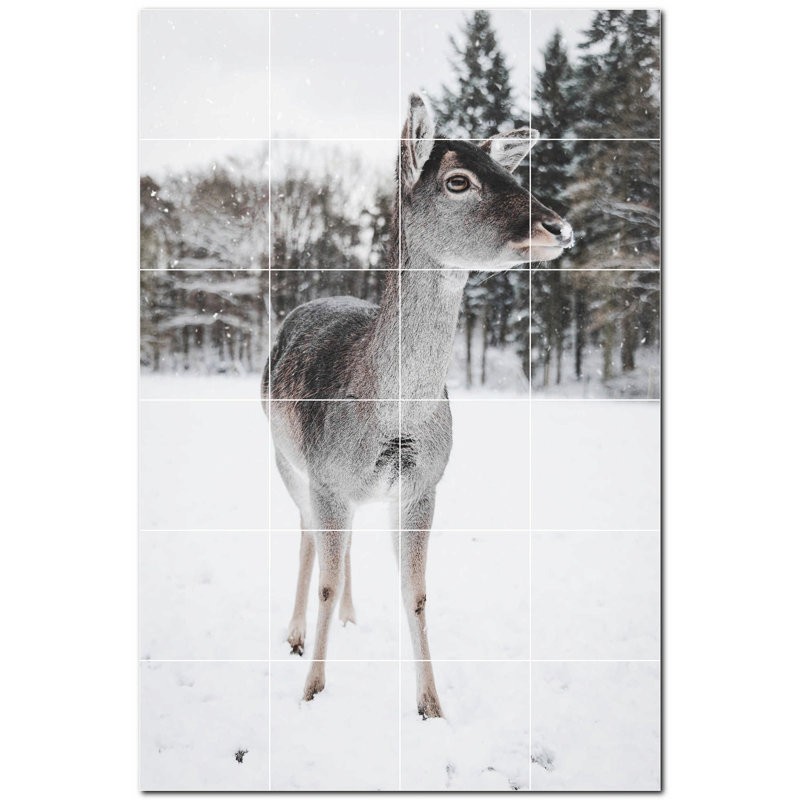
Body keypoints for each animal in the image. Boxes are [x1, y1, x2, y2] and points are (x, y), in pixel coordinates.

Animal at [262, 93, 573, 719]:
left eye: (510, 171)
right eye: (458, 180)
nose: (559, 226)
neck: (394, 418)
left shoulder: (424, 484)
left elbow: (417, 591)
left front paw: (431, 704)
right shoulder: (327, 477)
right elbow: (326, 578)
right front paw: (312, 690)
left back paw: (351, 617)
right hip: (285, 459)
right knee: (307, 533)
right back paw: (295, 634)